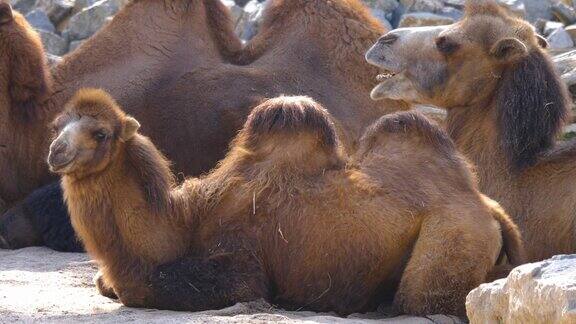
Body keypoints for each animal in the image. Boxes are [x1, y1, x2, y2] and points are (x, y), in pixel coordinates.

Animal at [49, 88, 524, 316]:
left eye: (100, 133)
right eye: (58, 124)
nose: (56, 151)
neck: (182, 222)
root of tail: (491, 210)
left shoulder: (242, 265)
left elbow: (142, 288)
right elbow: (106, 282)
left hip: (452, 237)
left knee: (424, 302)